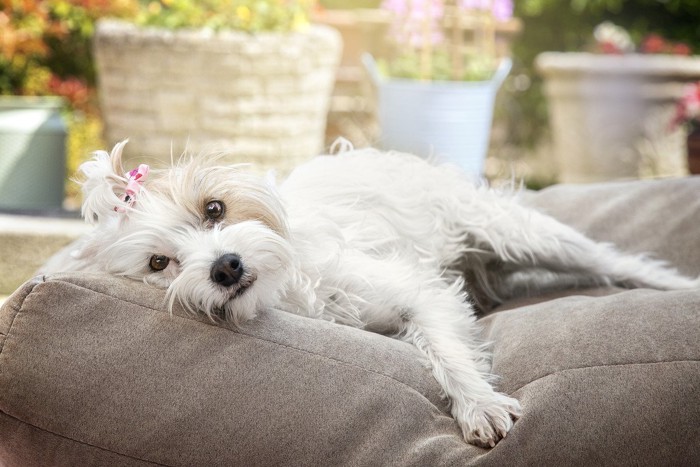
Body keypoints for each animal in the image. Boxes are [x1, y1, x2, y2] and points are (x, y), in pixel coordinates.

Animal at [45, 143, 700, 450]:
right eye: (159, 263)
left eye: (214, 209)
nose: (227, 266)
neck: (291, 291)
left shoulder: (420, 294)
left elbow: (447, 352)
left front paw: (479, 405)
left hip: (519, 232)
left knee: (614, 261)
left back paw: (674, 285)